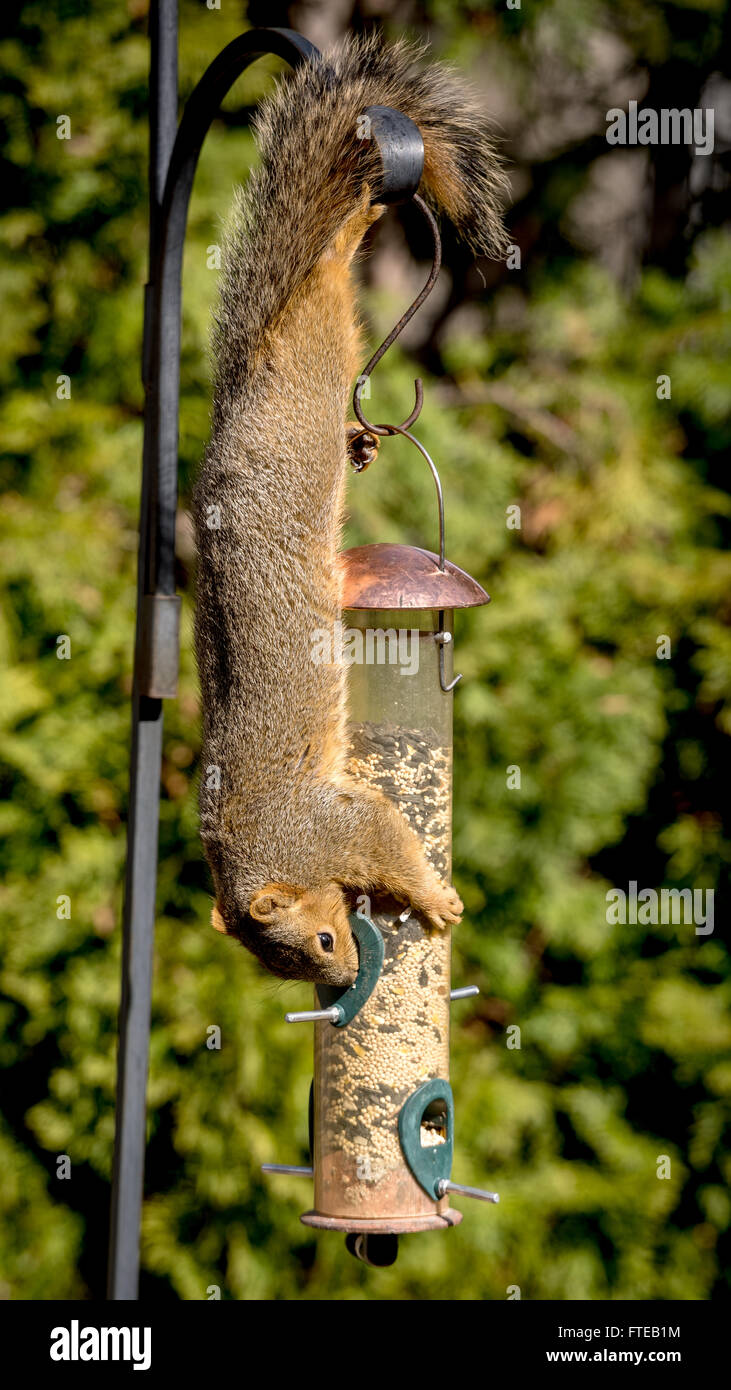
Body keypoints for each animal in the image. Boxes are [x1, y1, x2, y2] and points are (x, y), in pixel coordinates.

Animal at [191, 32, 508, 989]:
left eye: (325, 943)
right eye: (291, 969)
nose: (337, 988)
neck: (266, 853)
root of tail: (240, 398)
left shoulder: (329, 824)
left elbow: (381, 834)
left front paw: (431, 896)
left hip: (317, 366)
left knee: (326, 277)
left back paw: (354, 225)